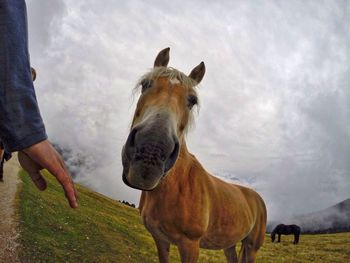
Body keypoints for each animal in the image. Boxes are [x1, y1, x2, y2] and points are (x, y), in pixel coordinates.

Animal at [121, 48, 266, 263]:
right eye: (145, 84)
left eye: (192, 100)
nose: (151, 151)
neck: (176, 185)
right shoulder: (159, 239)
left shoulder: (190, 245)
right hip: (229, 244)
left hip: (251, 247)